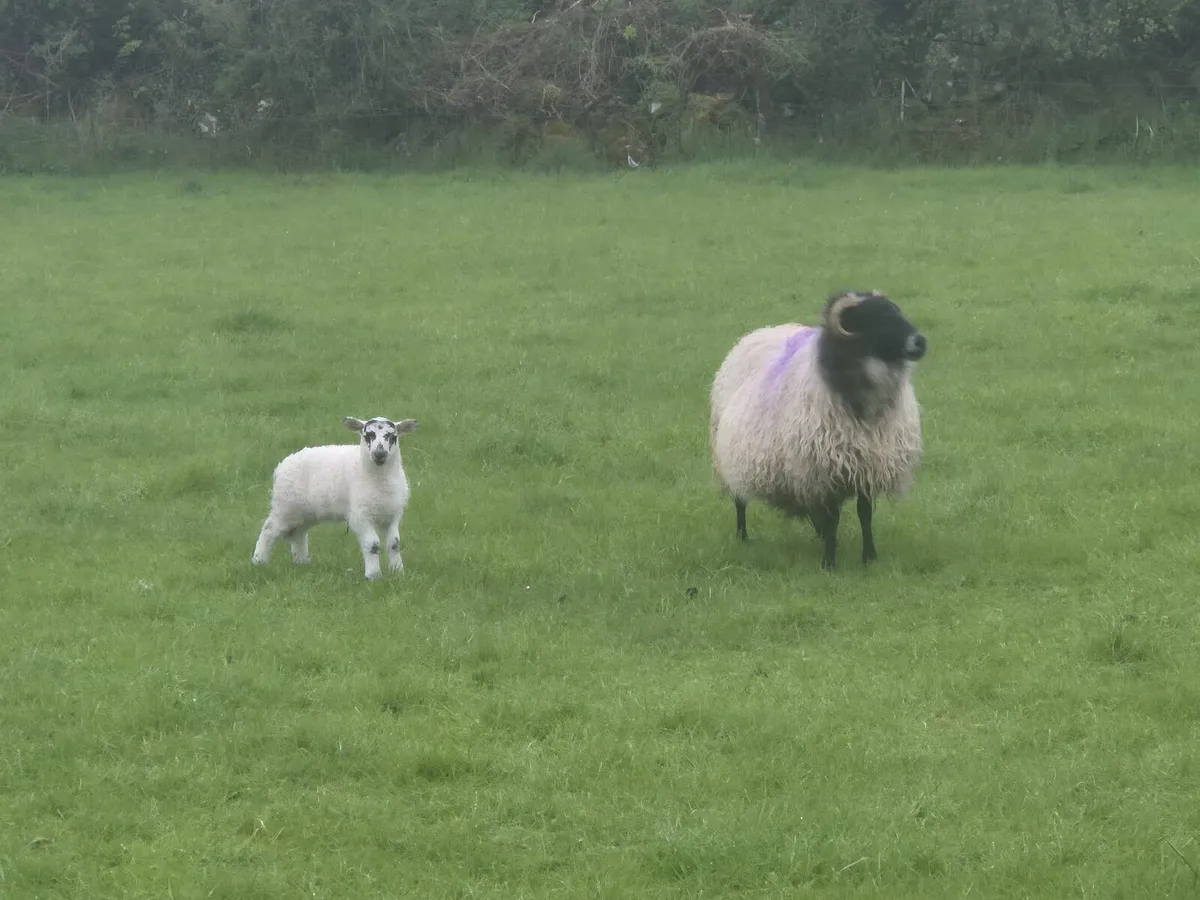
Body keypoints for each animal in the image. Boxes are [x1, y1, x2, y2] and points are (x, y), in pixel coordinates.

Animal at [251, 416, 418, 580]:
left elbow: (394, 544)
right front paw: (373, 576)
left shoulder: (393, 515)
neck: (380, 480)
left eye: (393, 436)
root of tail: (282, 466)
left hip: (304, 511)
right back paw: (258, 562)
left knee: (299, 534)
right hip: (286, 505)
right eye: (366, 436)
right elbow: (373, 545)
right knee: (269, 529)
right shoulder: (359, 516)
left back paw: (302, 563)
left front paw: (398, 572)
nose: (379, 454)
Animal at [708, 290, 927, 570]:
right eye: (871, 318)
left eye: (896, 311)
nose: (920, 342)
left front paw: (869, 557)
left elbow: (864, 514)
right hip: (729, 453)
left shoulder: (867, 466)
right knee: (739, 499)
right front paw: (829, 562)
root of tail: (760, 331)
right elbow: (833, 518)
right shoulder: (822, 471)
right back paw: (742, 536)